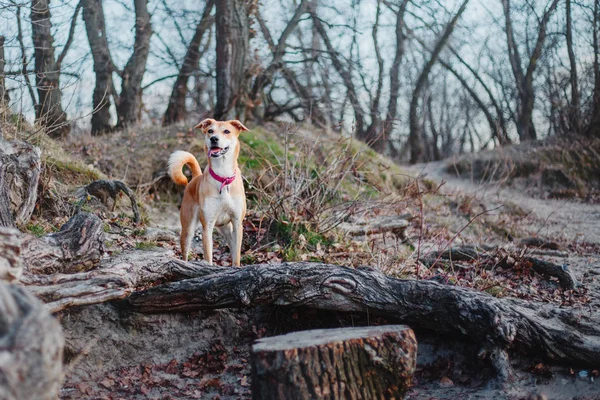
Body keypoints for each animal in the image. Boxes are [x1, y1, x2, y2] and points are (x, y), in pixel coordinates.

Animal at [166, 119, 248, 266]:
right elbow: (208, 257)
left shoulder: (237, 223)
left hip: (228, 230)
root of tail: (195, 177)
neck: (223, 177)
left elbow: (236, 258)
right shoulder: (207, 226)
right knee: (185, 252)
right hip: (188, 229)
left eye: (227, 131)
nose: (213, 138)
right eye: (210, 131)